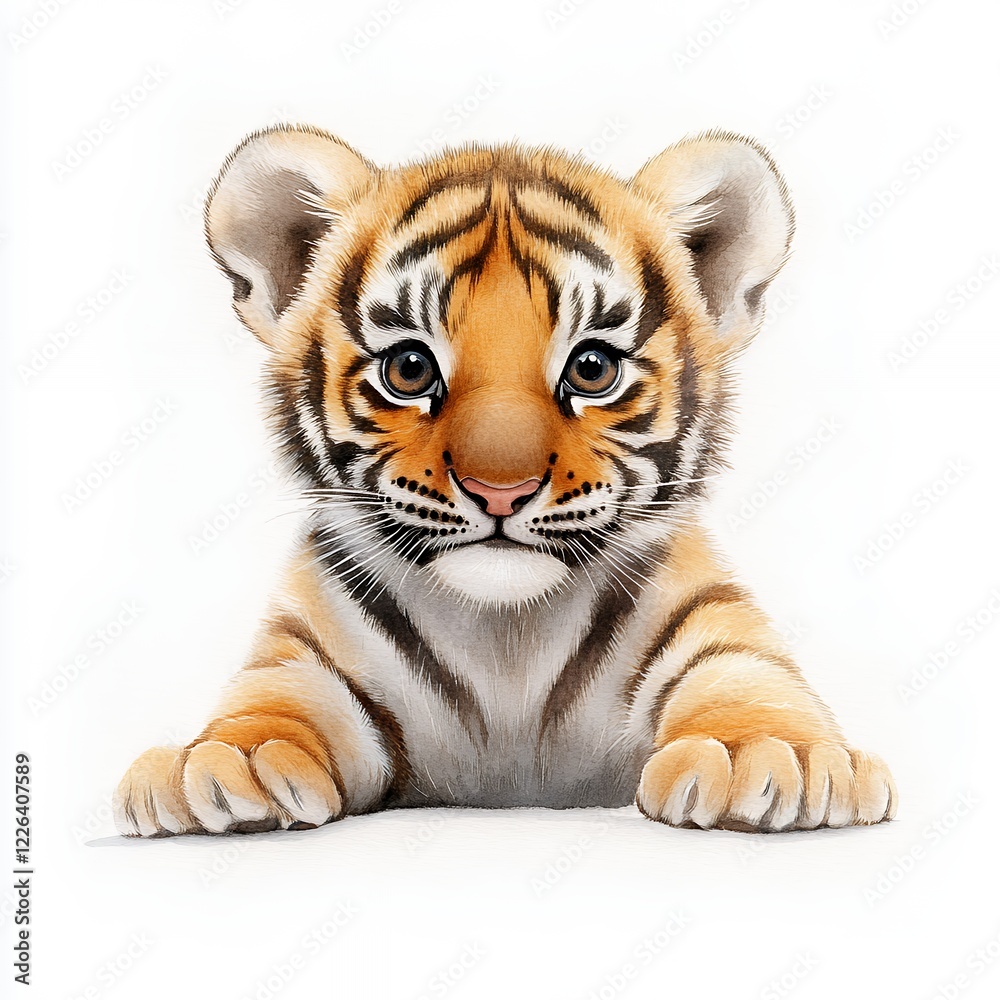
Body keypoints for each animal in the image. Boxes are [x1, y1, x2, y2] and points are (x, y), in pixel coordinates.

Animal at [113, 124, 897, 837]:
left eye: (592, 369)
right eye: (409, 369)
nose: (500, 490)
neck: (505, 640)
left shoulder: (713, 625)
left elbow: (747, 683)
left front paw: (768, 756)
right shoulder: (307, 654)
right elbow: (273, 702)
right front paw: (225, 763)